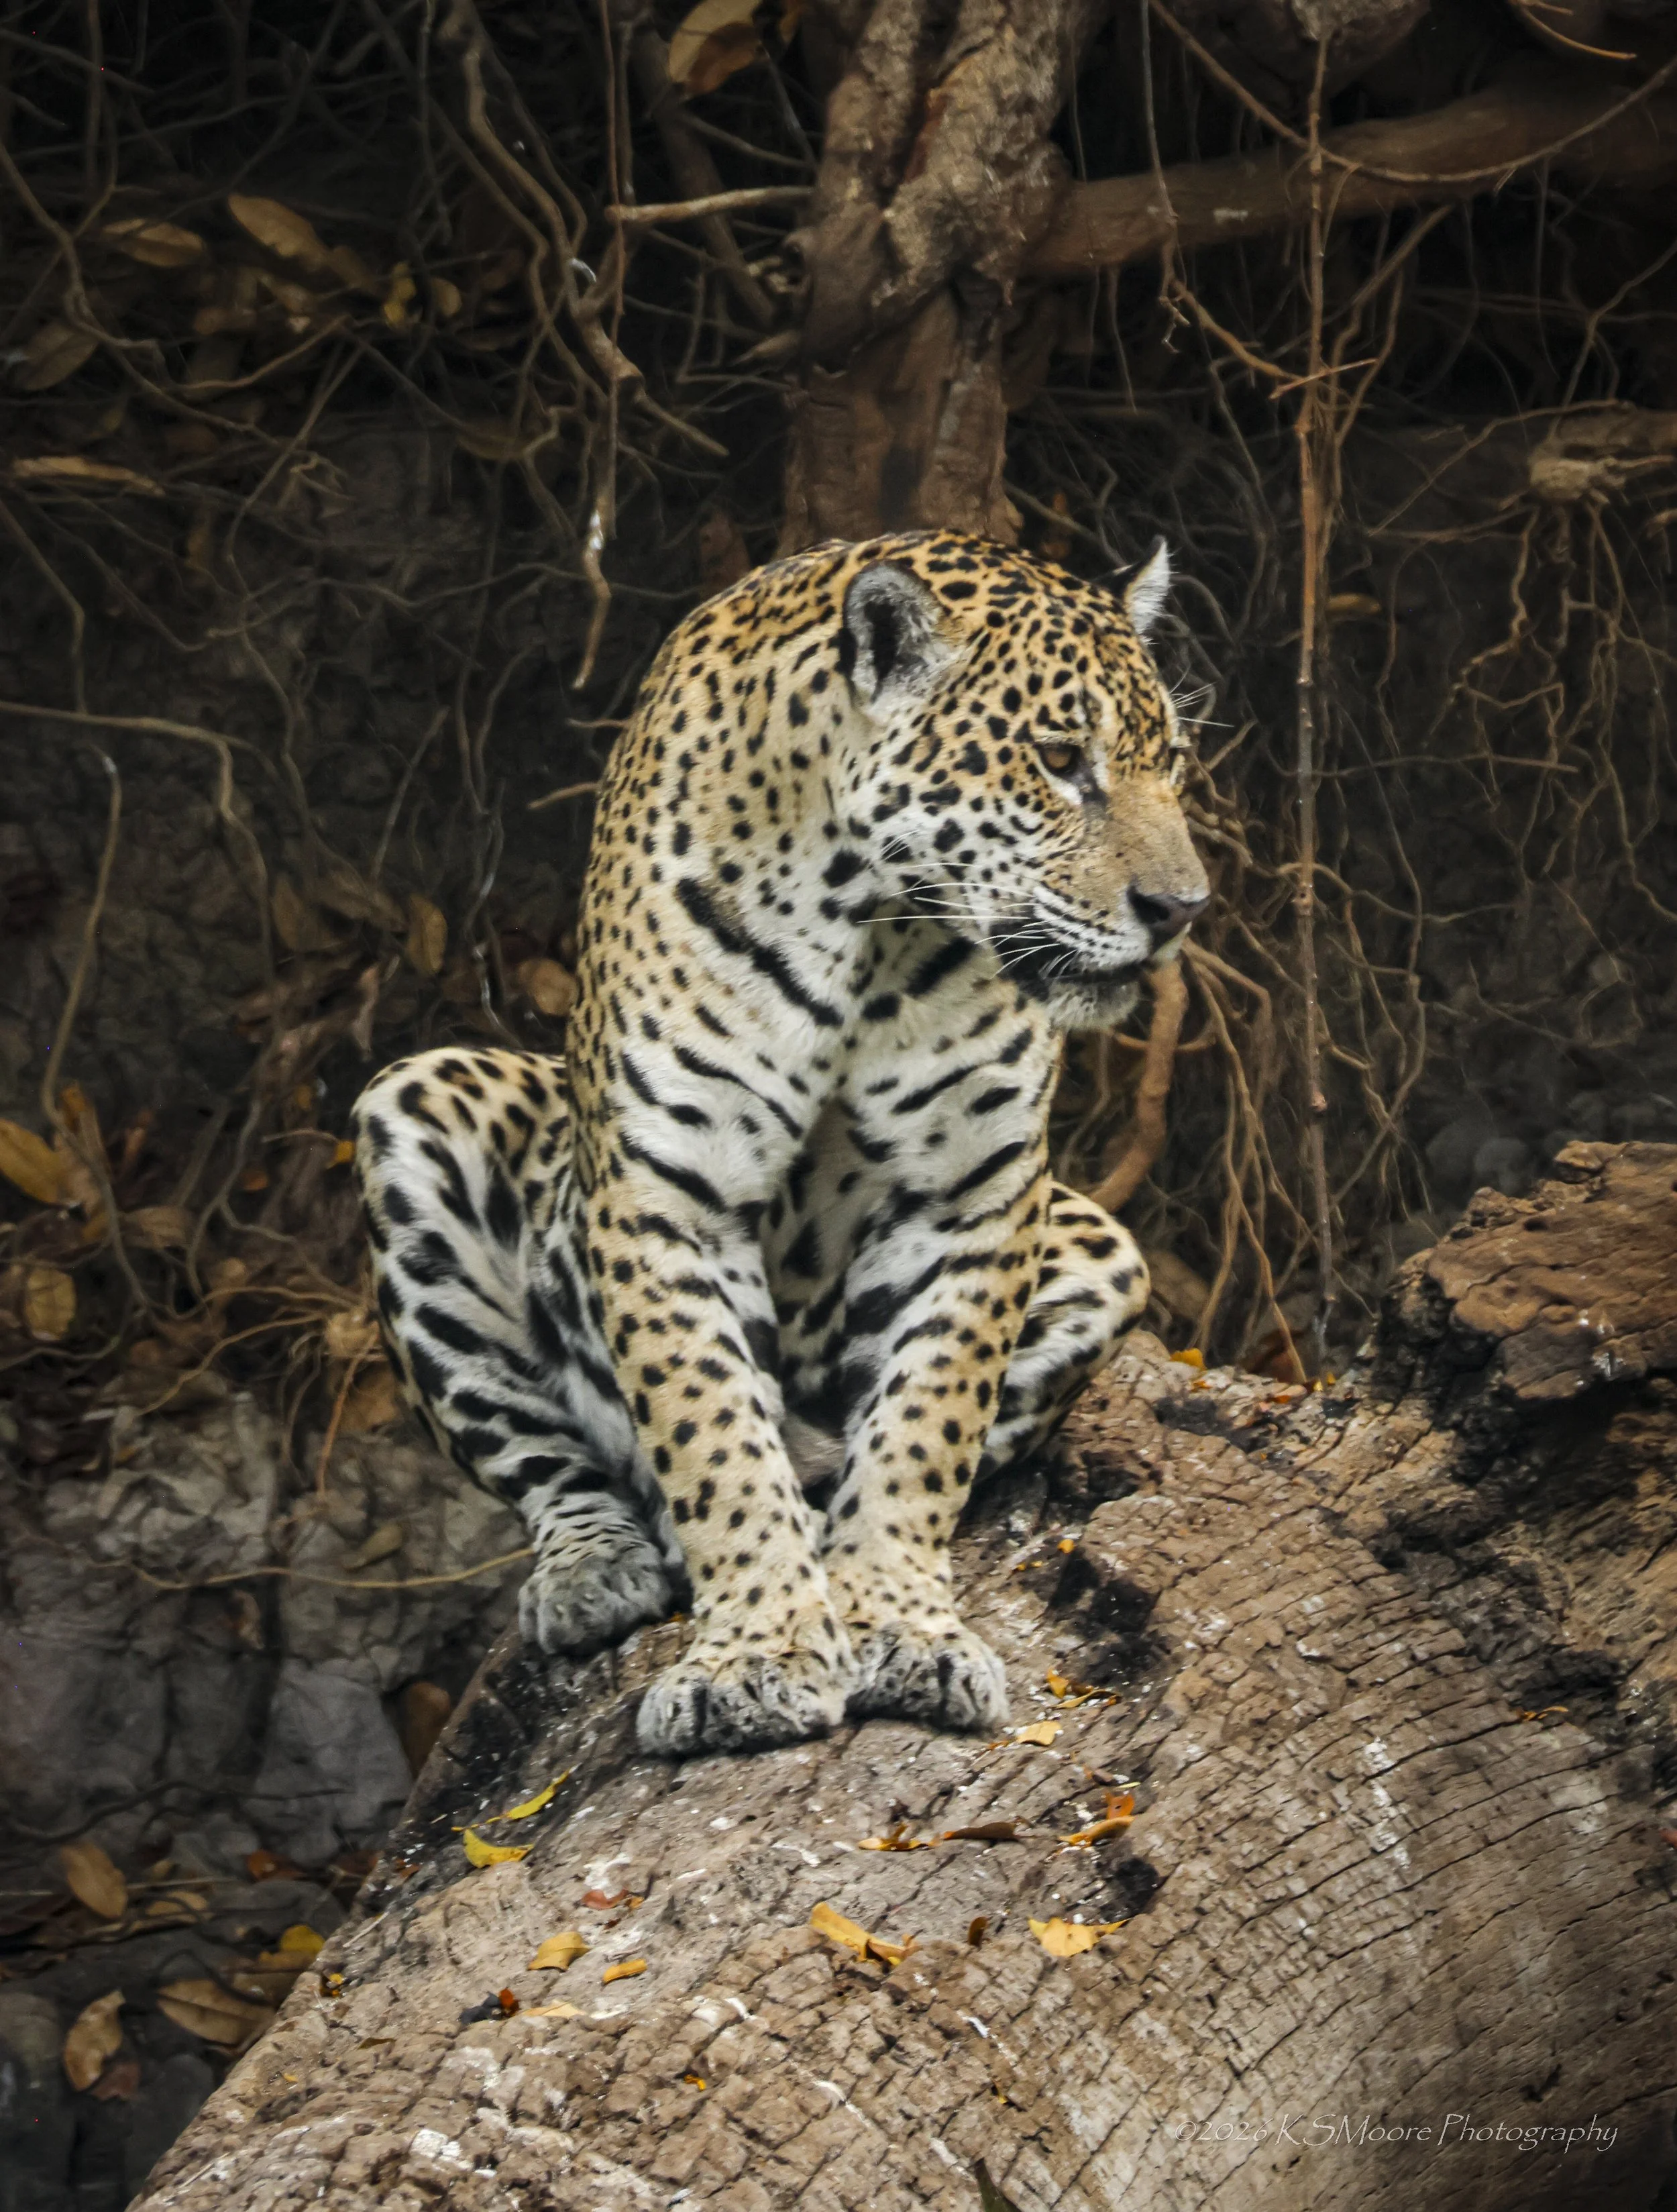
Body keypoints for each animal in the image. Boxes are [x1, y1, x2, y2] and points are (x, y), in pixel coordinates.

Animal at [352, 529, 1209, 1758]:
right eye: (1058, 759)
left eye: (1172, 763)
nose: (1182, 909)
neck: (876, 928)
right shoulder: (666, 1196)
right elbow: (712, 1434)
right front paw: (755, 1653)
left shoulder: (974, 1194)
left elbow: (927, 1424)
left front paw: (896, 1617)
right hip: (417, 1104)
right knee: (551, 1461)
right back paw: (599, 1568)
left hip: (1102, 1246)